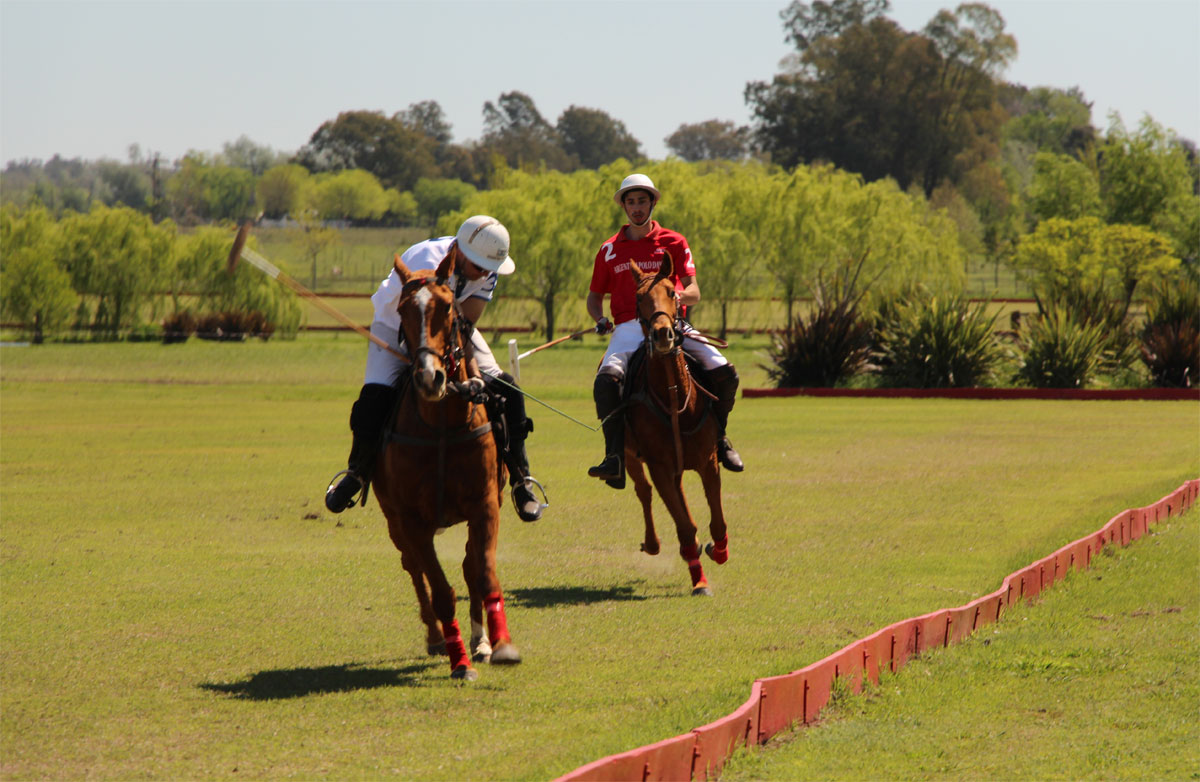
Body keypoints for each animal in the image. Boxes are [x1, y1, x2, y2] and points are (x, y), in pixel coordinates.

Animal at [374, 251, 520, 676]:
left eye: (447, 309)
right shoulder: (411, 519)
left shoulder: (486, 505)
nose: (430, 378)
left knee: (468, 566)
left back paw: (480, 640)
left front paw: (498, 643)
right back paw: (437, 637)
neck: (442, 425)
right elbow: (439, 589)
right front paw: (459, 661)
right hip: (393, 520)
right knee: (413, 567)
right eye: (402, 310)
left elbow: (483, 573)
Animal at [624, 253, 724, 594]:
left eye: (672, 292)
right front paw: (700, 581)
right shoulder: (659, 465)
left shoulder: (709, 459)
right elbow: (685, 526)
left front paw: (719, 549)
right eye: (639, 297)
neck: (674, 398)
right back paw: (654, 543)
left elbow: (716, 520)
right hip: (630, 456)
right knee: (643, 491)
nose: (662, 334)